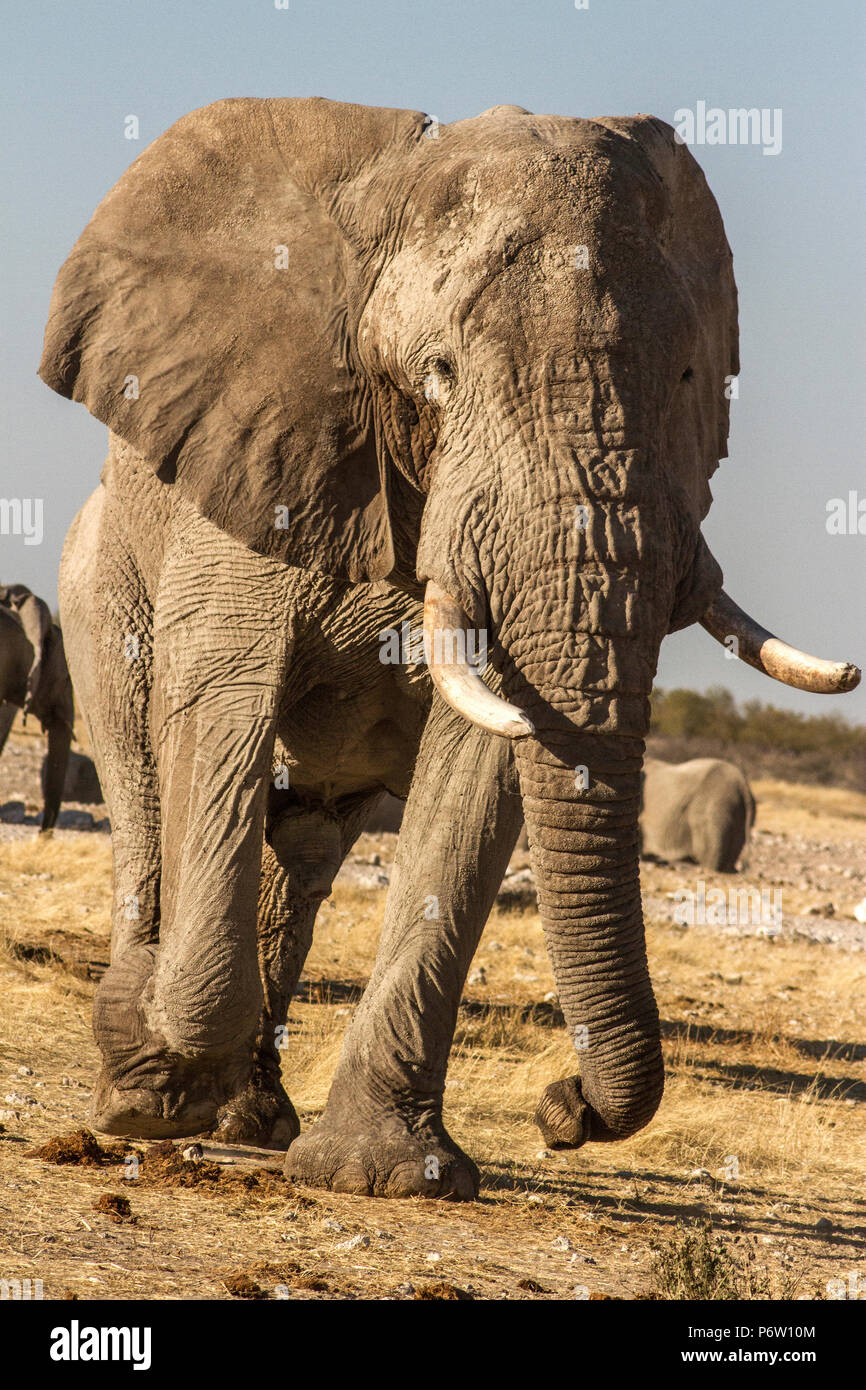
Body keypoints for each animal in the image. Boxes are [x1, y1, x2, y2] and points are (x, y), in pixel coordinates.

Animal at [42, 97, 861, 1195]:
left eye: (690, 377)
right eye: (439, 373)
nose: (563, 1108)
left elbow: (480, 767)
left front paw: (383, 1174)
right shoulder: (260, 460)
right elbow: (221, 698)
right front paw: (161, 1081)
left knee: (304, 847)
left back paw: (250, 1118)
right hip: (94, 579)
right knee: (143, 779)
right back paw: (139, 1082)